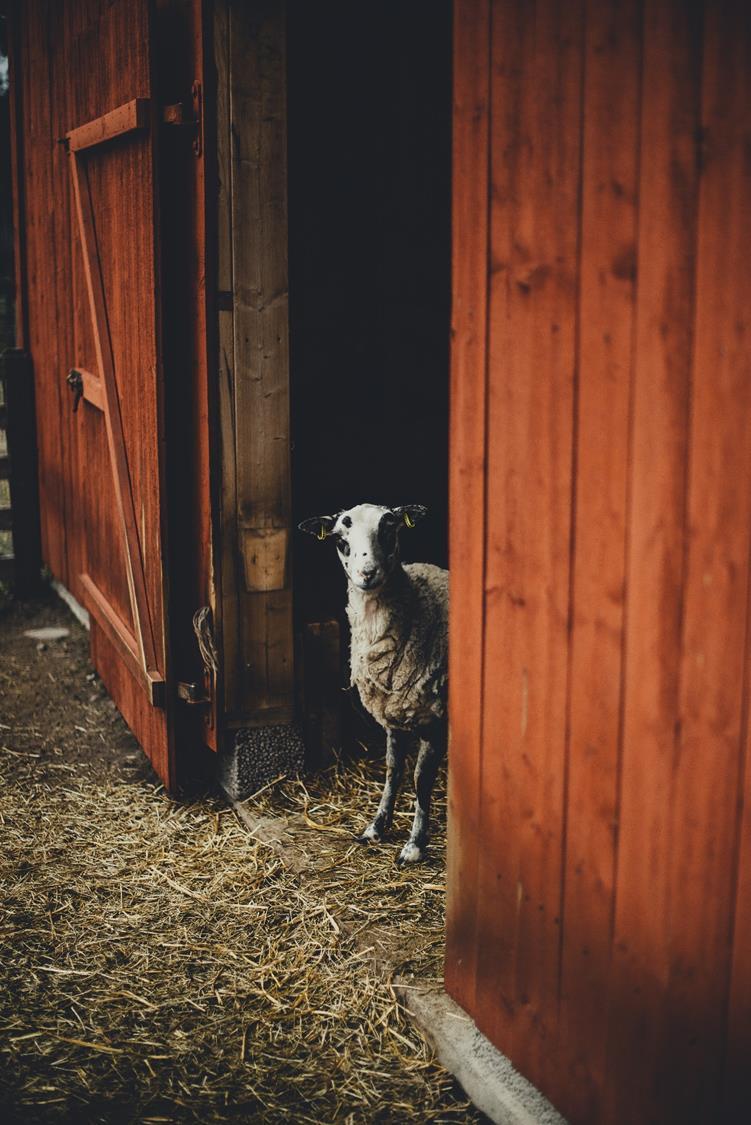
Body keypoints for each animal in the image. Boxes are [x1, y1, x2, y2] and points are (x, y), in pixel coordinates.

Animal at [299, 501, 449, 859]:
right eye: (340, 539)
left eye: (389, 528)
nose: (367, 573)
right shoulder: (393, 715)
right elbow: (393, 772)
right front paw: (376, 827)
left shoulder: (435, 718)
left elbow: (421, 781)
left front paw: (414, 845)